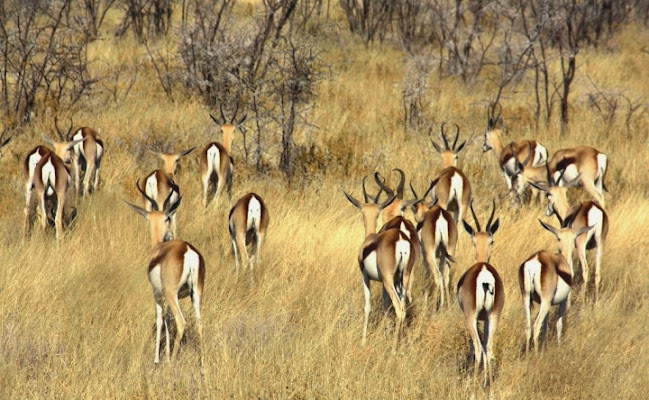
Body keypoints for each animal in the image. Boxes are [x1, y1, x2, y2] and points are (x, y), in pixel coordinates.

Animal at [121, 192, 202, 368]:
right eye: (168, 218)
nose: (169, 235)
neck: (158, 249)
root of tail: (187, 251)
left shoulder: (157, 293)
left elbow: (159, 319)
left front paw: (158, 359)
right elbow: (167, 319)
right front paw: (166, 356)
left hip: (172, 294)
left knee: (181, 322)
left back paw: (171, 364)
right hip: (196, 293)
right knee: (199, 323)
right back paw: (202, 366)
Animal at [408, 180, 458, 308]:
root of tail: (440, 217)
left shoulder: (425, 256)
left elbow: (427, 274)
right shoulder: (441, 256)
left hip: (430, 254)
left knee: (436, 275)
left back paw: (434, 307)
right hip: (449, 252)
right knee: (445, 276)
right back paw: (447, 306)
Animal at [520, 219, 588, 354]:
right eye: (558, 238)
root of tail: (536, 260)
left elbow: (545, 326)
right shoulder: (562, 301)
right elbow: (559, 324)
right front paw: (559, 346)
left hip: (526, 298)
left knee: (528, 327)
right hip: (545, 302)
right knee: (536, 326)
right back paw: (536, 355)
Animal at [532, 170, 608, 302]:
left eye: (547, 195)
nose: (547, 211)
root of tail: (593, 208)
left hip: (581, 246)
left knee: (586, 270)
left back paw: (582, 302)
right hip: (600, 244)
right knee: (597, 272)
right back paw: (596, 302)